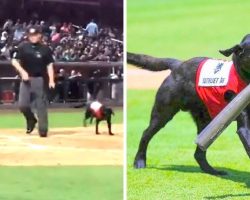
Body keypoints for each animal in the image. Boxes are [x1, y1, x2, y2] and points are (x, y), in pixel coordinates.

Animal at [128, 34, 250, 175]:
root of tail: (178, 64)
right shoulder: (244, 126)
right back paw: (139, 161)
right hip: (163, 113)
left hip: (205, 122)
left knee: (199, 154)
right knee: (145, 134)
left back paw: (212, 171)